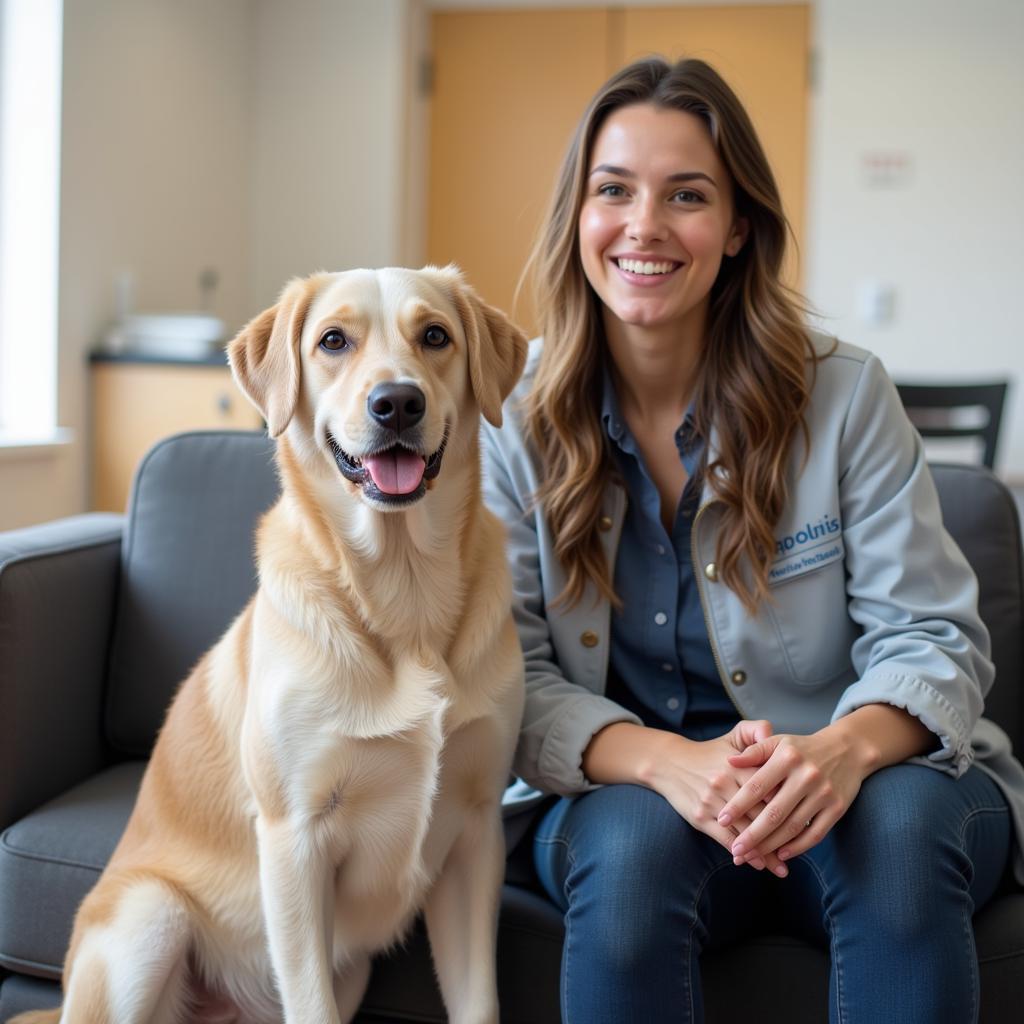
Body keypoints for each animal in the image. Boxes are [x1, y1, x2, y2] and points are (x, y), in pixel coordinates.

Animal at [12, 266, 528, 1024]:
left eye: (435, 335)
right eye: (333, 341)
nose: (397, 403)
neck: (401, 594)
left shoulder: (474, 839)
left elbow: (479, 1002)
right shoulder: (294, 841)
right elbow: (308, 1000)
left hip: (349, 972)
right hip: (149, 919)